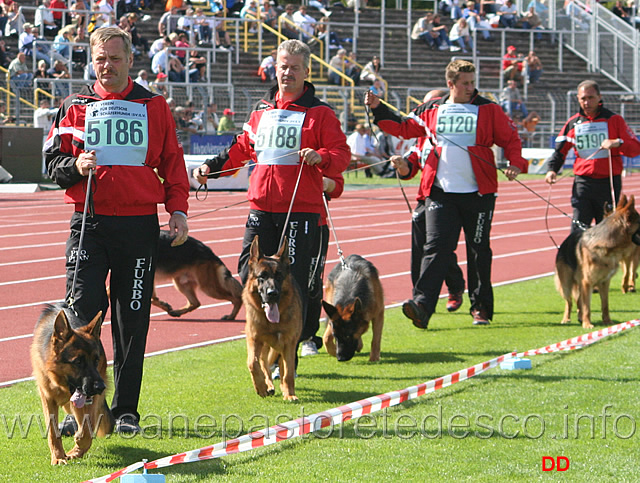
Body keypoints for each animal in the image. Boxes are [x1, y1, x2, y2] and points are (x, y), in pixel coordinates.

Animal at [30, 304, 114, 466]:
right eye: (78, 362)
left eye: (96, 360)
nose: (101, 387)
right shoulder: (47, 398)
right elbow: (53, 432)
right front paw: (58, 457)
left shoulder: (89, 400)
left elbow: (87, 430)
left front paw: (75, 450)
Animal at [242, 237, 302, 400]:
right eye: (262, 276)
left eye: (279, 276)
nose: (272, 293)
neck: (272, 323)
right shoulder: (254, 339)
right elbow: (253, 363)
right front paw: (261, 387)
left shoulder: (289, 343)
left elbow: (288, 372)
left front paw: (289, 394)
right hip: (264, 346)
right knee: (264, 365)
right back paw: (268, 385)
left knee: (282, 367)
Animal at [556, 195, 640, 330]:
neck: (606, 246)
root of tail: (566, 240)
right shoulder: (587, 283)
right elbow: (587, 307)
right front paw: (587, 324)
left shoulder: (604, 282)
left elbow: (605, 305)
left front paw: (607, 321)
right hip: (566, 285)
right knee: (569, 301)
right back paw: (566, 318)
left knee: (578, 300)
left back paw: (579, 317)